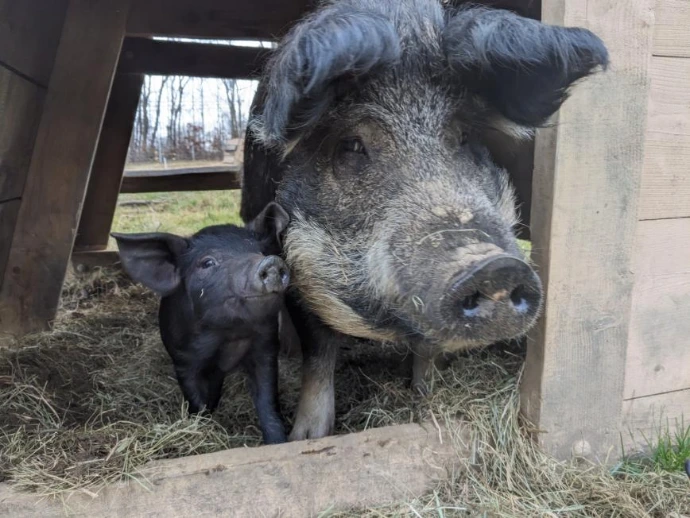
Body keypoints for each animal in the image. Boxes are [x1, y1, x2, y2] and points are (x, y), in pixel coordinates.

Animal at [112, 202, 290, 445]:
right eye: (207, 262)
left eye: (261, 251)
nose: (270, 262)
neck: (229, 335)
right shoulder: (183, 359)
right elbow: (195, 399)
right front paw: (204, 423)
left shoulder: (267, 348)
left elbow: (267, 400)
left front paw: (278, 442)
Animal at [240, 0, 609, 440]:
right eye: (352, 145)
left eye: (464, 137)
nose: (492, 265)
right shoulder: (296, 259)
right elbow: (320, 353)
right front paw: (308, 437)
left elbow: (428, 348)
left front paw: (425, 396)